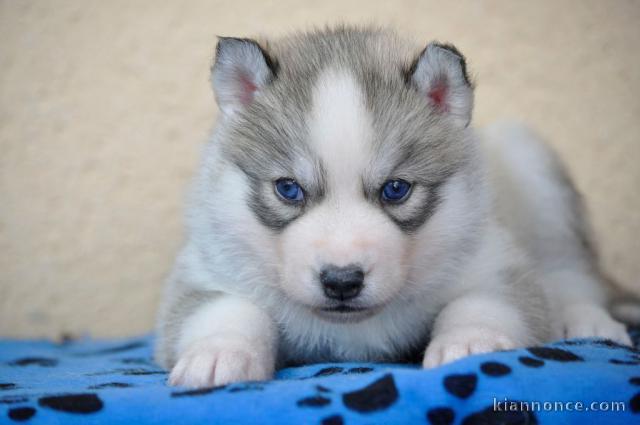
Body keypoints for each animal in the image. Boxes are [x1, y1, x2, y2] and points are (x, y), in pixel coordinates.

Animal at [156, 24, 632, 386]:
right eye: (288, 189)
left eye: (396, 190)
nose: (342, 281)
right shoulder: (208, 271)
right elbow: (227, 309)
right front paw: (218, 354)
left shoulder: (495, 264)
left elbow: (483, 302)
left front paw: (471, 343)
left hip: (534, 168)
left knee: (571, 273)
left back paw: (589, 321)